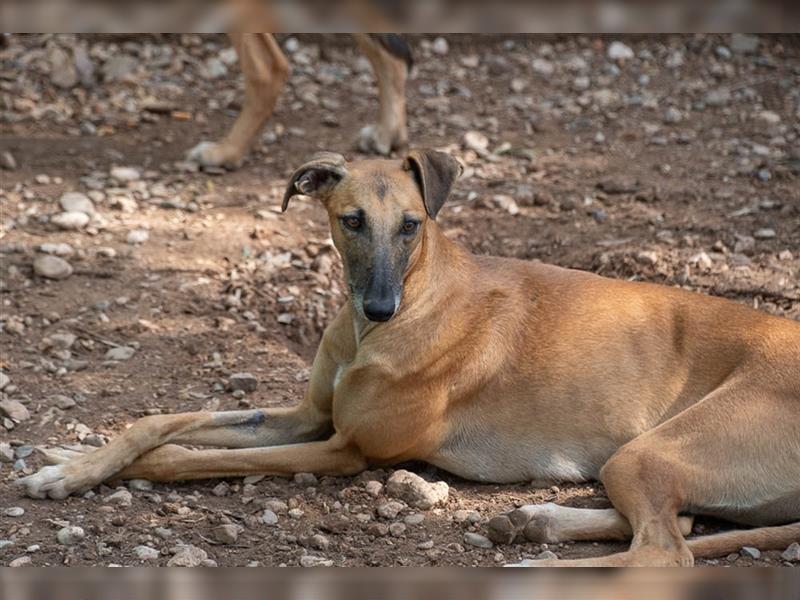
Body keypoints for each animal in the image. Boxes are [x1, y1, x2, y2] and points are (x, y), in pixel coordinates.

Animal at [18, 150, 800, 568]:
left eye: (412, 225)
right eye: (350, 221)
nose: (379, 309)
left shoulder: (345, 449)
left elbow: (181, 458)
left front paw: (78, 469)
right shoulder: (307, 415)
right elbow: (160, 422)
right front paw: (73, 458)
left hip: (653, 451)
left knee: (666, 551)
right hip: (637, 459)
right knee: (684, 527)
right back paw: (535, 522)